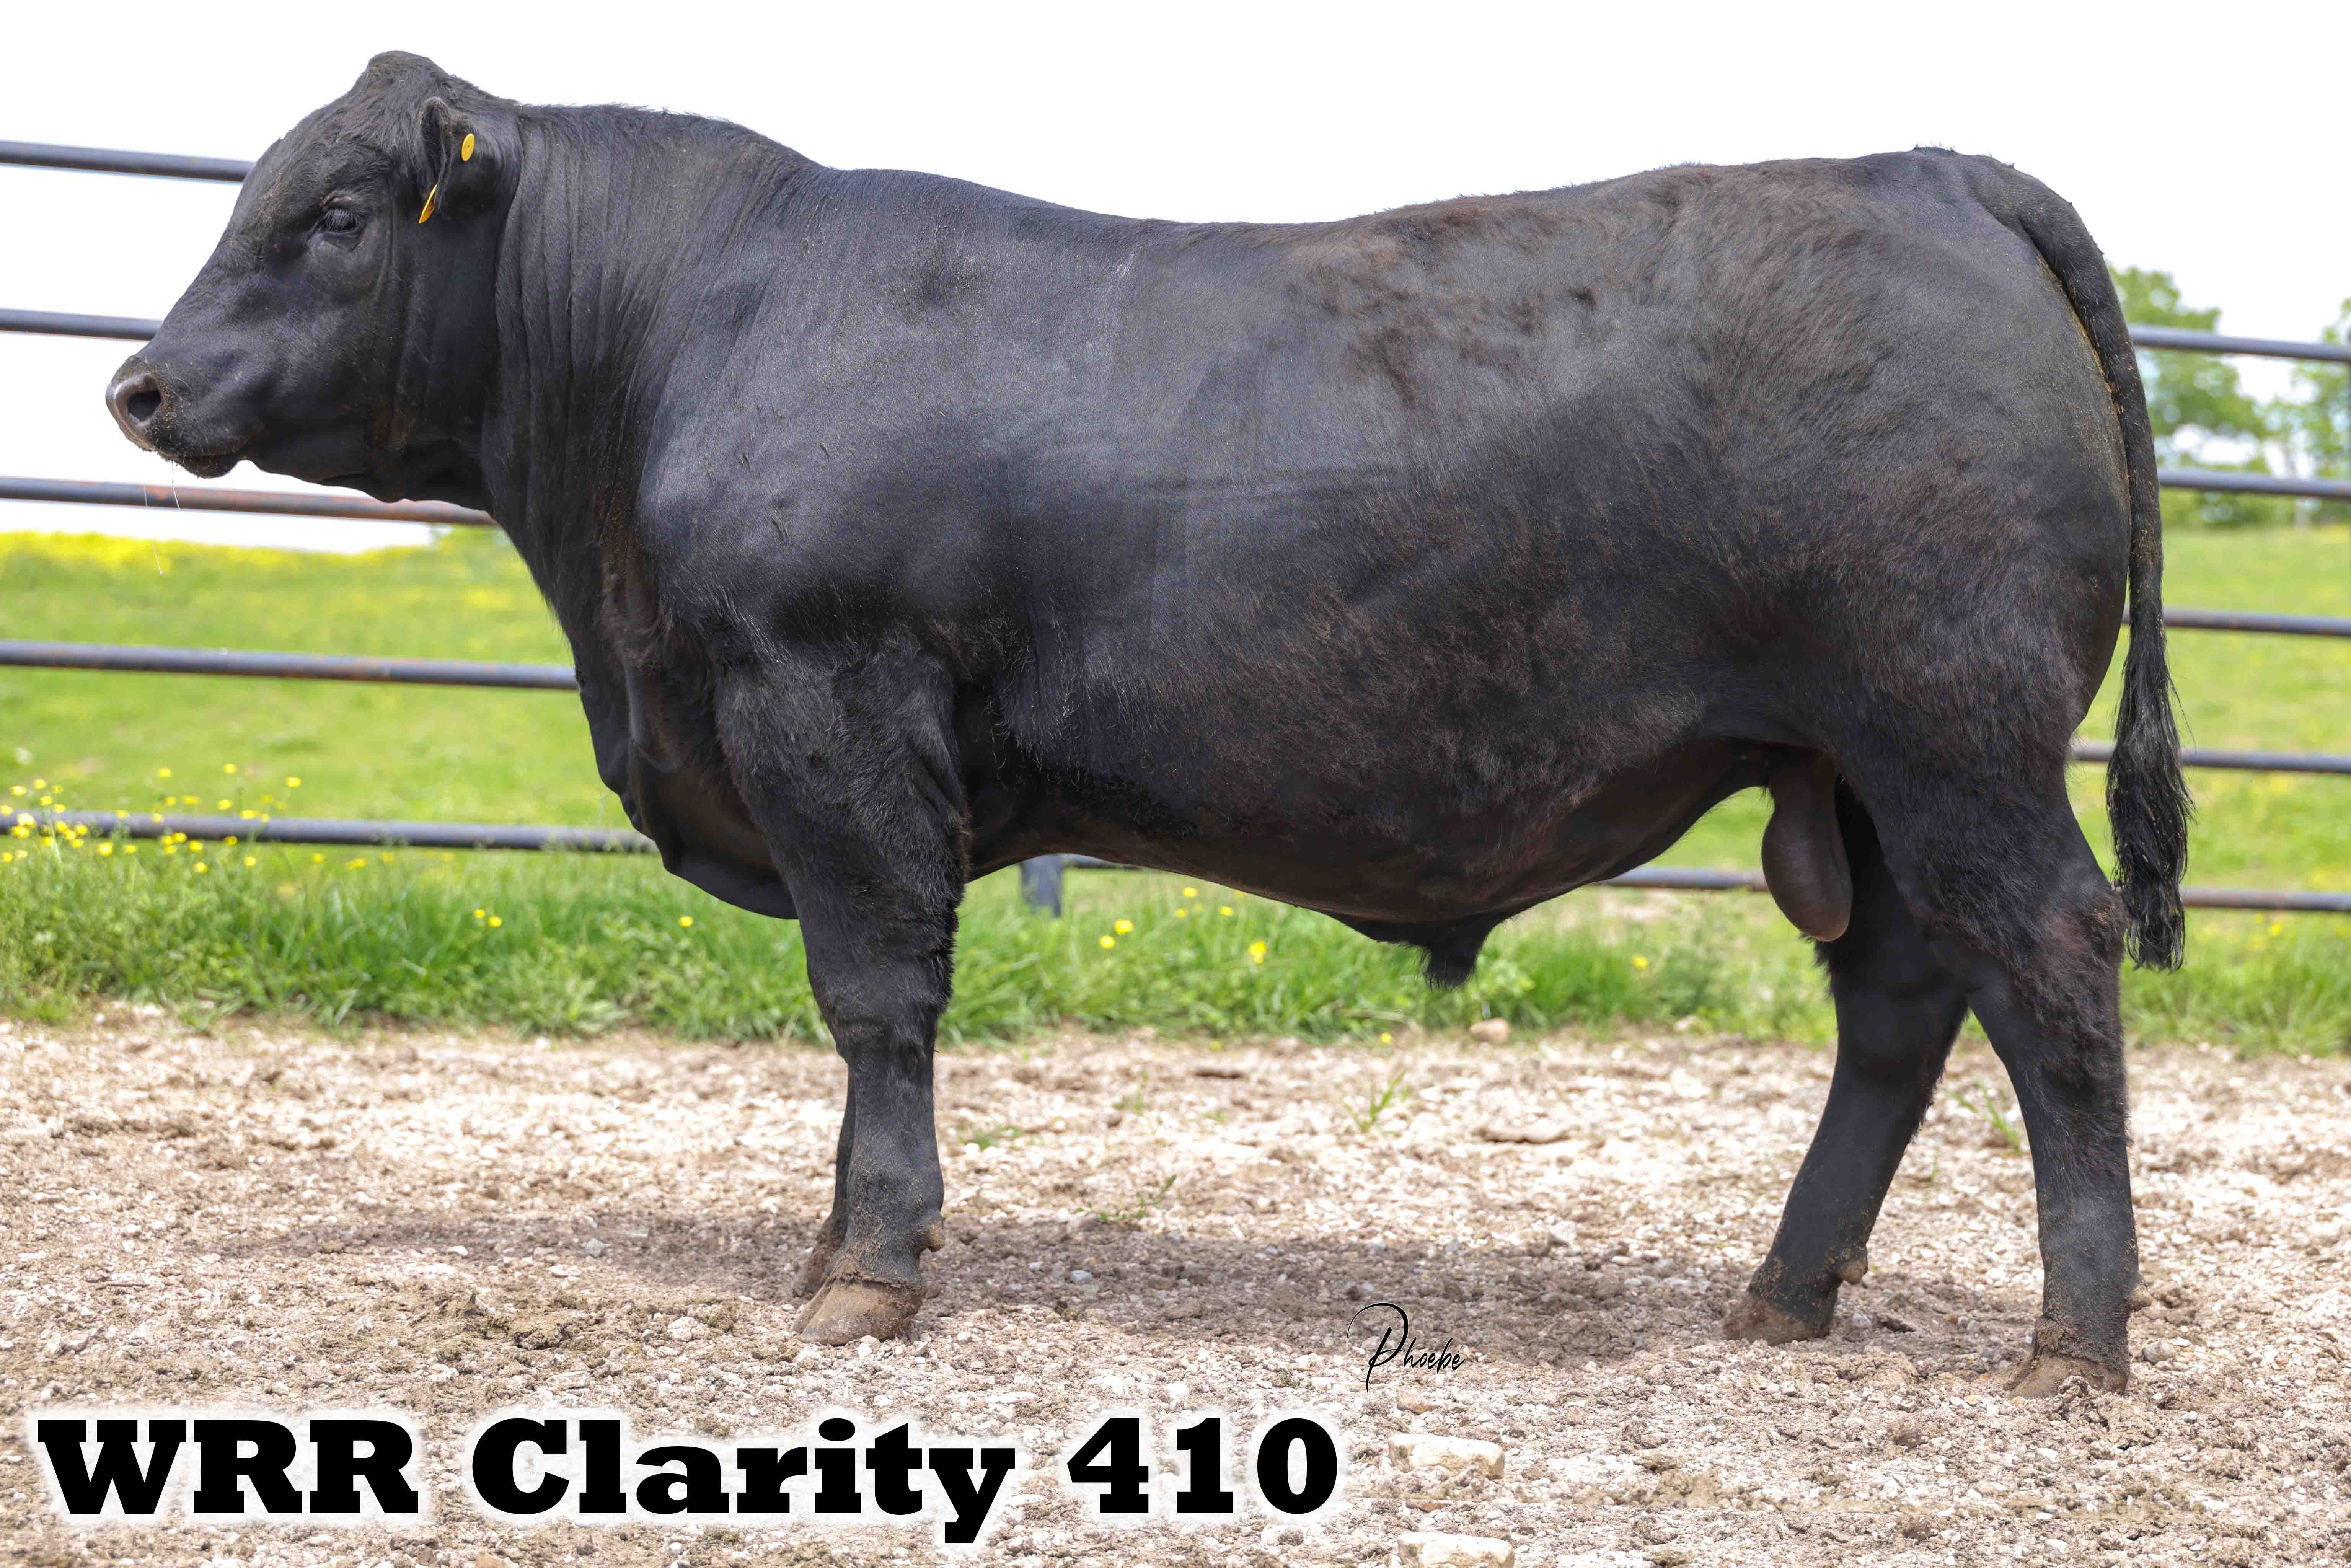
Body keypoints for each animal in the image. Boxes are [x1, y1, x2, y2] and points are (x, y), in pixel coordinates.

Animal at [108, 53, 2188, 1393]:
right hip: (1858, 773)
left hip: (1950, 732)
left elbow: (876, 999)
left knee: (2047, 962)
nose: (139, 383)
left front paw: (868, 1273)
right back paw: (1783, 1296)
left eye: (340, 211)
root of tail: (1925, 168)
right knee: (1900, 1005)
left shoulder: (827, 703)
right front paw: (832, 1248)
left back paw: (2069, 1344)